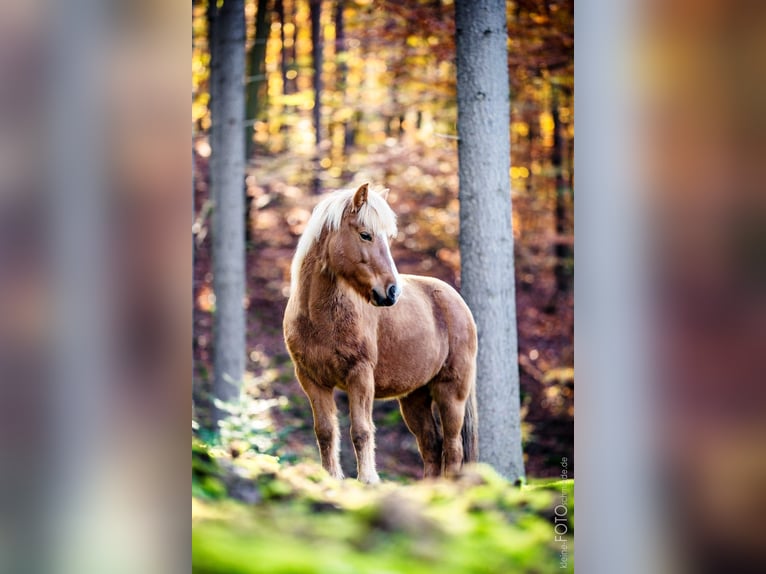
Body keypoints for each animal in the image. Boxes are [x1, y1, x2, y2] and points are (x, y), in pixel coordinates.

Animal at [284, 182, 476, 484]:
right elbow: (325, 431)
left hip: (451, 392)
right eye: (366, 234)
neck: (319, 320)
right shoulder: (311, 379)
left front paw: (368, 479)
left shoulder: (360, 376)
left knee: (453, 447)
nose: (392, 291)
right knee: (431, 444)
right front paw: (331, 477)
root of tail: (455, 299)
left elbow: (361, 430)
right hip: (414, 397)